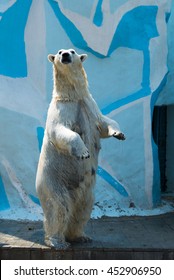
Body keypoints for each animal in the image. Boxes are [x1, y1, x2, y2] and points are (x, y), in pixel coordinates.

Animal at [35, 49, 125, 248]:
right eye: (59, 52)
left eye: (73, 51)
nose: (65, 55)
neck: (73, 96)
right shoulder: (62, 110)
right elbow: (61, 131)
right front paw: (84, 152)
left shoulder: (89, 106)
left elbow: (104, 123)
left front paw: (119, 134)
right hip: (53, 182)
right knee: (58, 208)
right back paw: (57, 241)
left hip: (86, 191)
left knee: (82, 209)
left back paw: (79, 236)